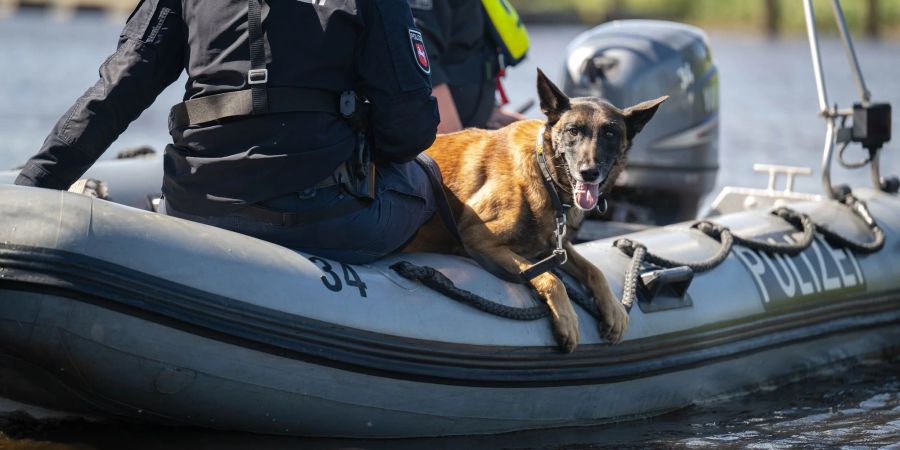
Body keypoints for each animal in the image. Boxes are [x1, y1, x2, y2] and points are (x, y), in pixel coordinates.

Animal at [404, 69, 664, 352]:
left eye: (610, 133)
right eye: (573, 131)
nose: (589, 172)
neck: (545, 173)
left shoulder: (557, 246)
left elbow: (594, 270)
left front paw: (614, 308)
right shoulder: (479, 239)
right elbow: (551, 277)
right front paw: (567, 318)